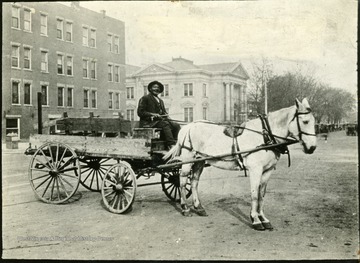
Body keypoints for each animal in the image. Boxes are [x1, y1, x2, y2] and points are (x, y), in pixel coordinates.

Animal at [165, 98, 316, 231]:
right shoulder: (255, 170)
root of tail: (188, 126)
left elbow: (262, 194)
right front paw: (255, 220)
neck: (265, 136)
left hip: (199, 161)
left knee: (194, 182)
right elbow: (254, 194)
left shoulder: (268, 170)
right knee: (182, 181)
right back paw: (185, 208)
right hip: (188, 160)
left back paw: (199, 208)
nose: (312, 148)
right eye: (305, 121)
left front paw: (264, 219)